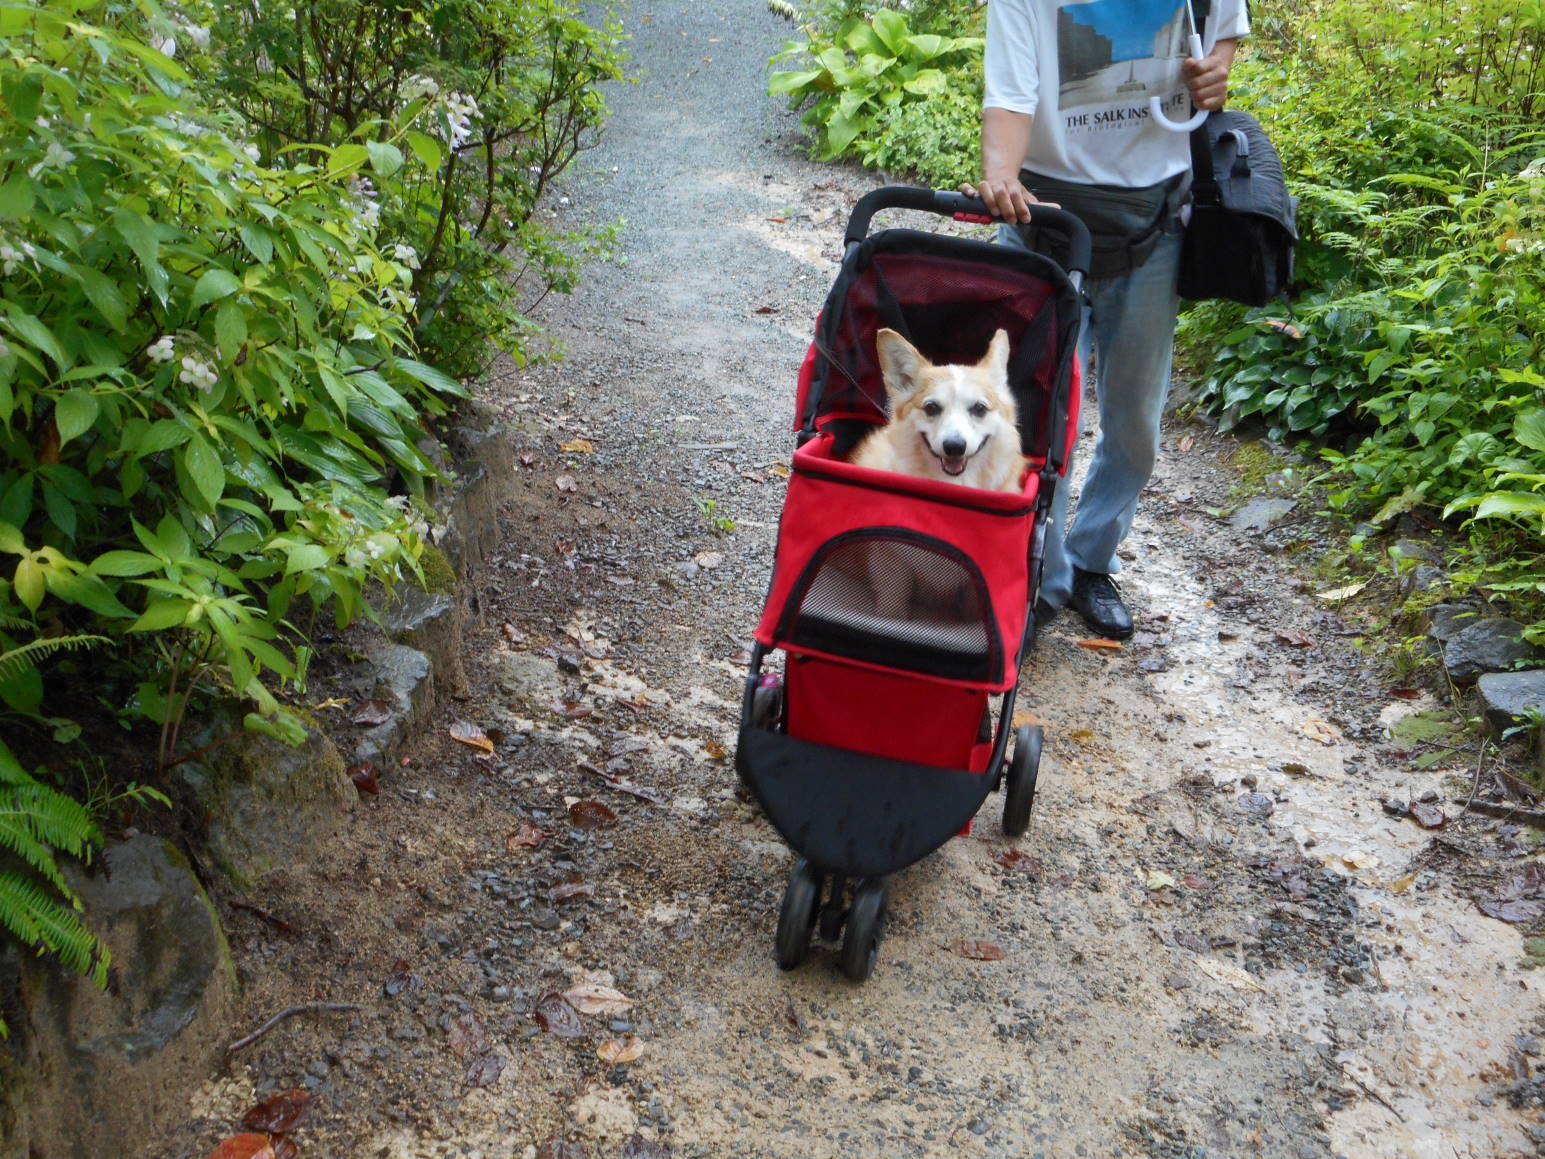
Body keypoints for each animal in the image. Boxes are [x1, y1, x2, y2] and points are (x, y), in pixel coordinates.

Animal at [846, 330, 1025, 621]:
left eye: (979, 409)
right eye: (931, 408)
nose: (954, 446)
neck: (950, 487)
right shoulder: (891, 563)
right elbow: (891, 612)